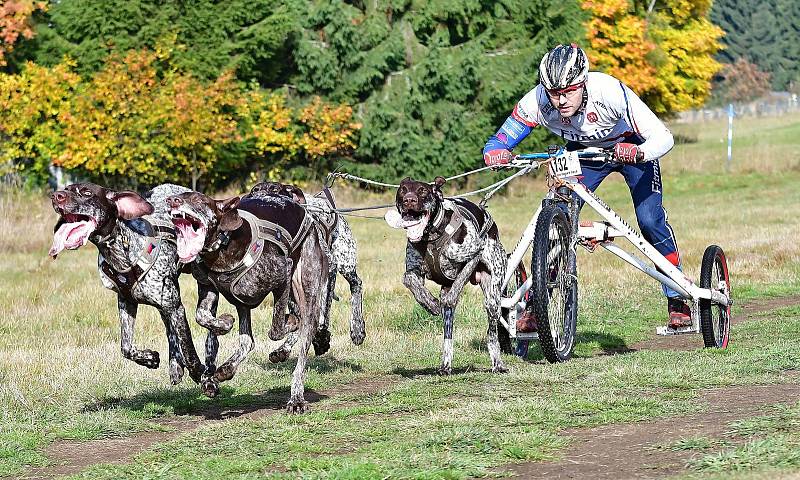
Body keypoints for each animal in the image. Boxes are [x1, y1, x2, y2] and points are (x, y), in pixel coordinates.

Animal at [48, 182, 205, 384]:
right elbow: (126, 348)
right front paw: (149, 358)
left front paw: (203, 376)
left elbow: (189, 350)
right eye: (66, 189)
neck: (122, 248)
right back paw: (175, 364)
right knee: (170, 332)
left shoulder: (175, 308)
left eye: (87, 193)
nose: (56, 196)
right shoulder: (126, 302)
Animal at [167, 188, 326, 412]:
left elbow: (276, 329)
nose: (171, 200)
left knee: (303, 342)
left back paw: (296, 397)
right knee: (247, 341)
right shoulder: (208, 288)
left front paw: (290, 322)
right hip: (244, 302)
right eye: (180, 194)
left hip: (306, 287)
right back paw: (227, 368)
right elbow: (202, 316)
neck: (224, 246)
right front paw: (224, 323)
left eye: (199, 199)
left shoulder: (283, 274)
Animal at [247, 182, 366, 362]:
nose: (260, 200)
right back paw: (284, 348)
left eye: (275, 190)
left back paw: (357, 328)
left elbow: (323, 313)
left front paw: (322, 336)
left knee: (356, 285)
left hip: (345, 264)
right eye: (254, 191)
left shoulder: (329, 270)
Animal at [382, 176, 506, 376]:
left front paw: (448, 298)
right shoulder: (414, 270)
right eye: (403, 189)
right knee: (448, 335)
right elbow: (409, 280)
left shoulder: (474, 255)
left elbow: (459, 282)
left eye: (423, 191)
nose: (409, 200)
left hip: (492, 298)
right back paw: (445, 365)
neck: (432, 236)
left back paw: (498, 363)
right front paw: (430, 303)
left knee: (492, 333)